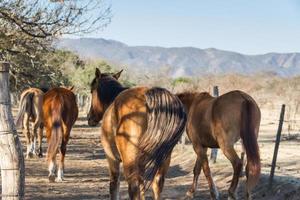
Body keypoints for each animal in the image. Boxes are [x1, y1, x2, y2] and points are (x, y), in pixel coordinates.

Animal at [86, 68, 186, 199]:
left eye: (92, 90)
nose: (89, 117)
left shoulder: (112, 158)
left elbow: (114, 185)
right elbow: (142, 188)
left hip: (130, 161)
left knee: (133, 187)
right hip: (163, 158)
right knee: (156, 184)